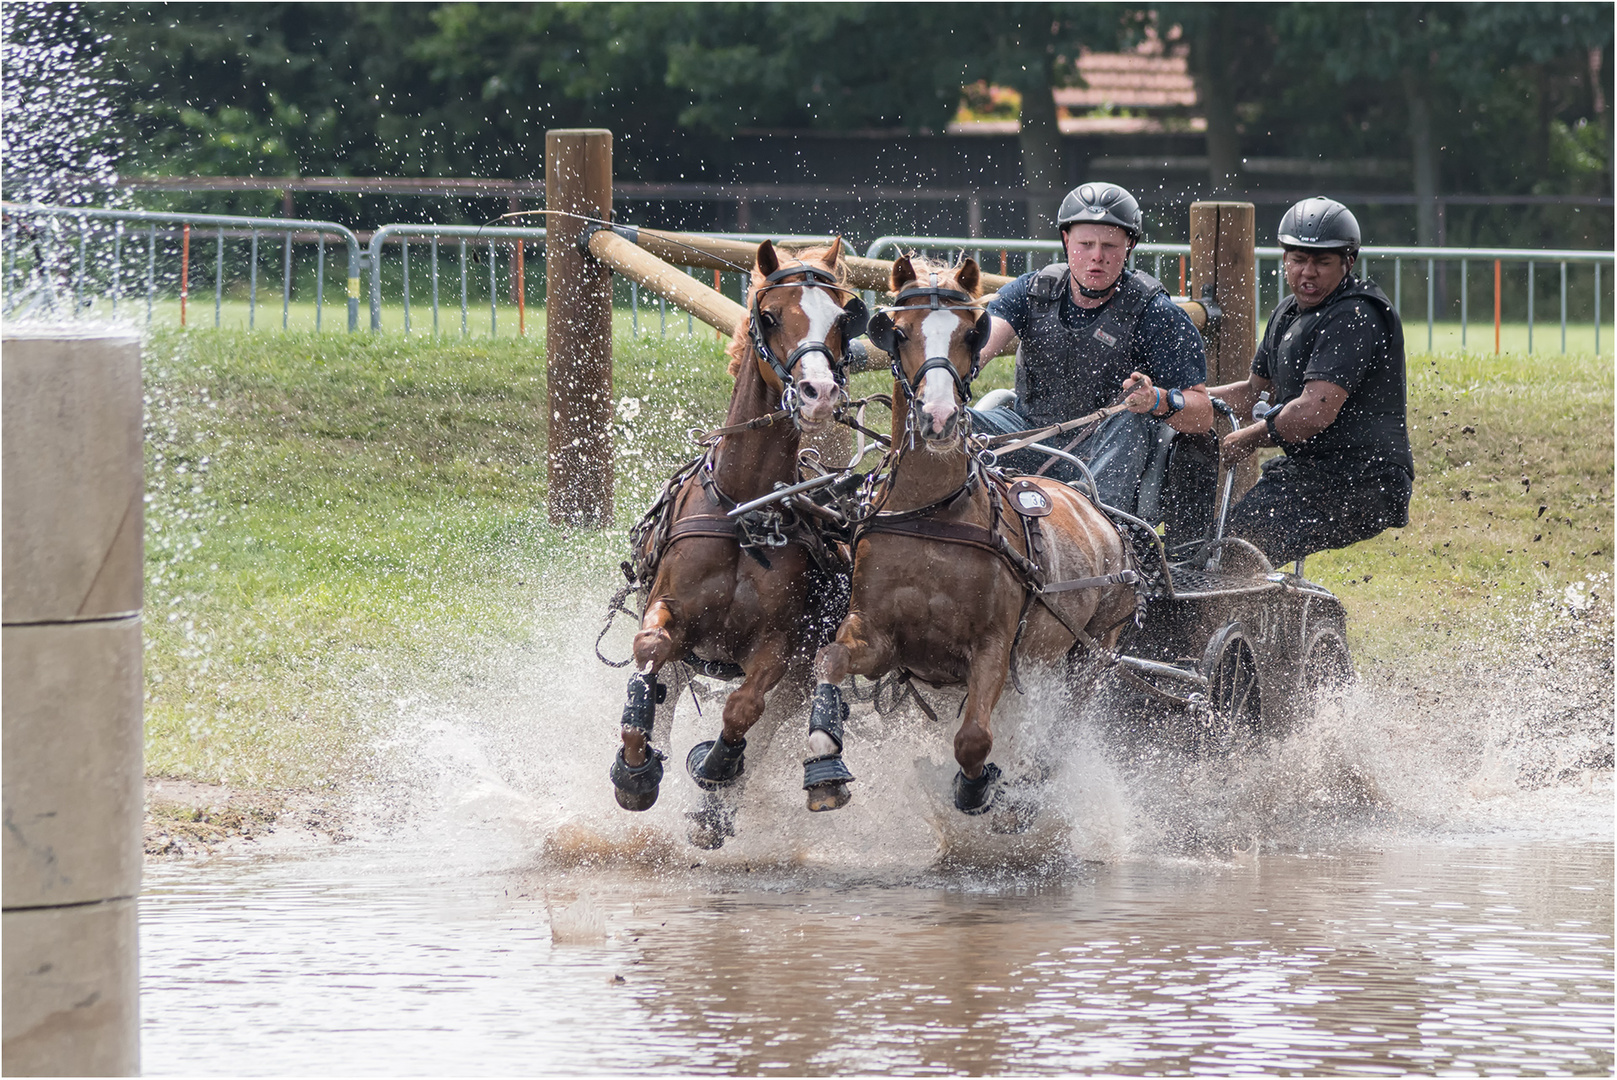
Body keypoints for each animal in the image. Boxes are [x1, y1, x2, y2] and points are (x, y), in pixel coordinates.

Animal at [607, 240, 873, 821]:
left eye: (843, 317)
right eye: (769, 316)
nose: (819, 393)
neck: (744, 509)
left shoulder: (779, 647)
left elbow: (743, 708)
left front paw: (716, 767)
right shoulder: (669, 613)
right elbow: (648, 649)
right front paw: (635, 770)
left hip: (798, 681)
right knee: (664, 696)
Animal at [808, 257, 1138, 814]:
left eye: (971, 333)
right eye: (897, 332)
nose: (938, 417)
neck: (933, 513)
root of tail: (1095, 510)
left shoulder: (992, 648)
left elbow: (973, 740)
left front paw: (978, 786)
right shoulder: (878, 635)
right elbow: (830, 659)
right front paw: (823, 759)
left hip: (1091, 655)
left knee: (1061, 732)